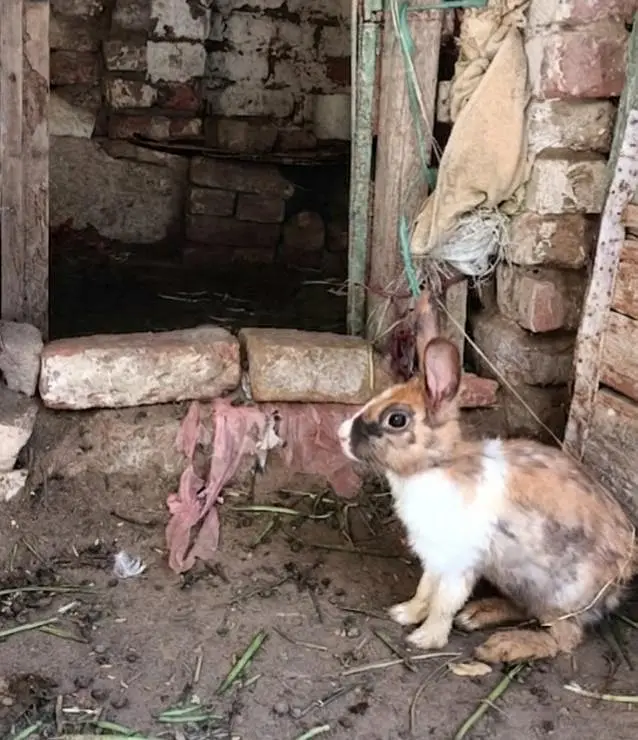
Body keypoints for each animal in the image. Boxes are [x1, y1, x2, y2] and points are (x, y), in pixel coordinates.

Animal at [338, 291, 637, 664]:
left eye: (396, 419)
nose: (341, 435)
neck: (437, 466)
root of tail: (625, 573)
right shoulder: (435, 556)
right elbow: (425, 589)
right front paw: (405, 613)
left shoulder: (458, 561)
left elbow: (444, 601)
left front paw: (425, 638)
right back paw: (478, 615)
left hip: (557, 594)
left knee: (563, 639)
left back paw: (502, 646)